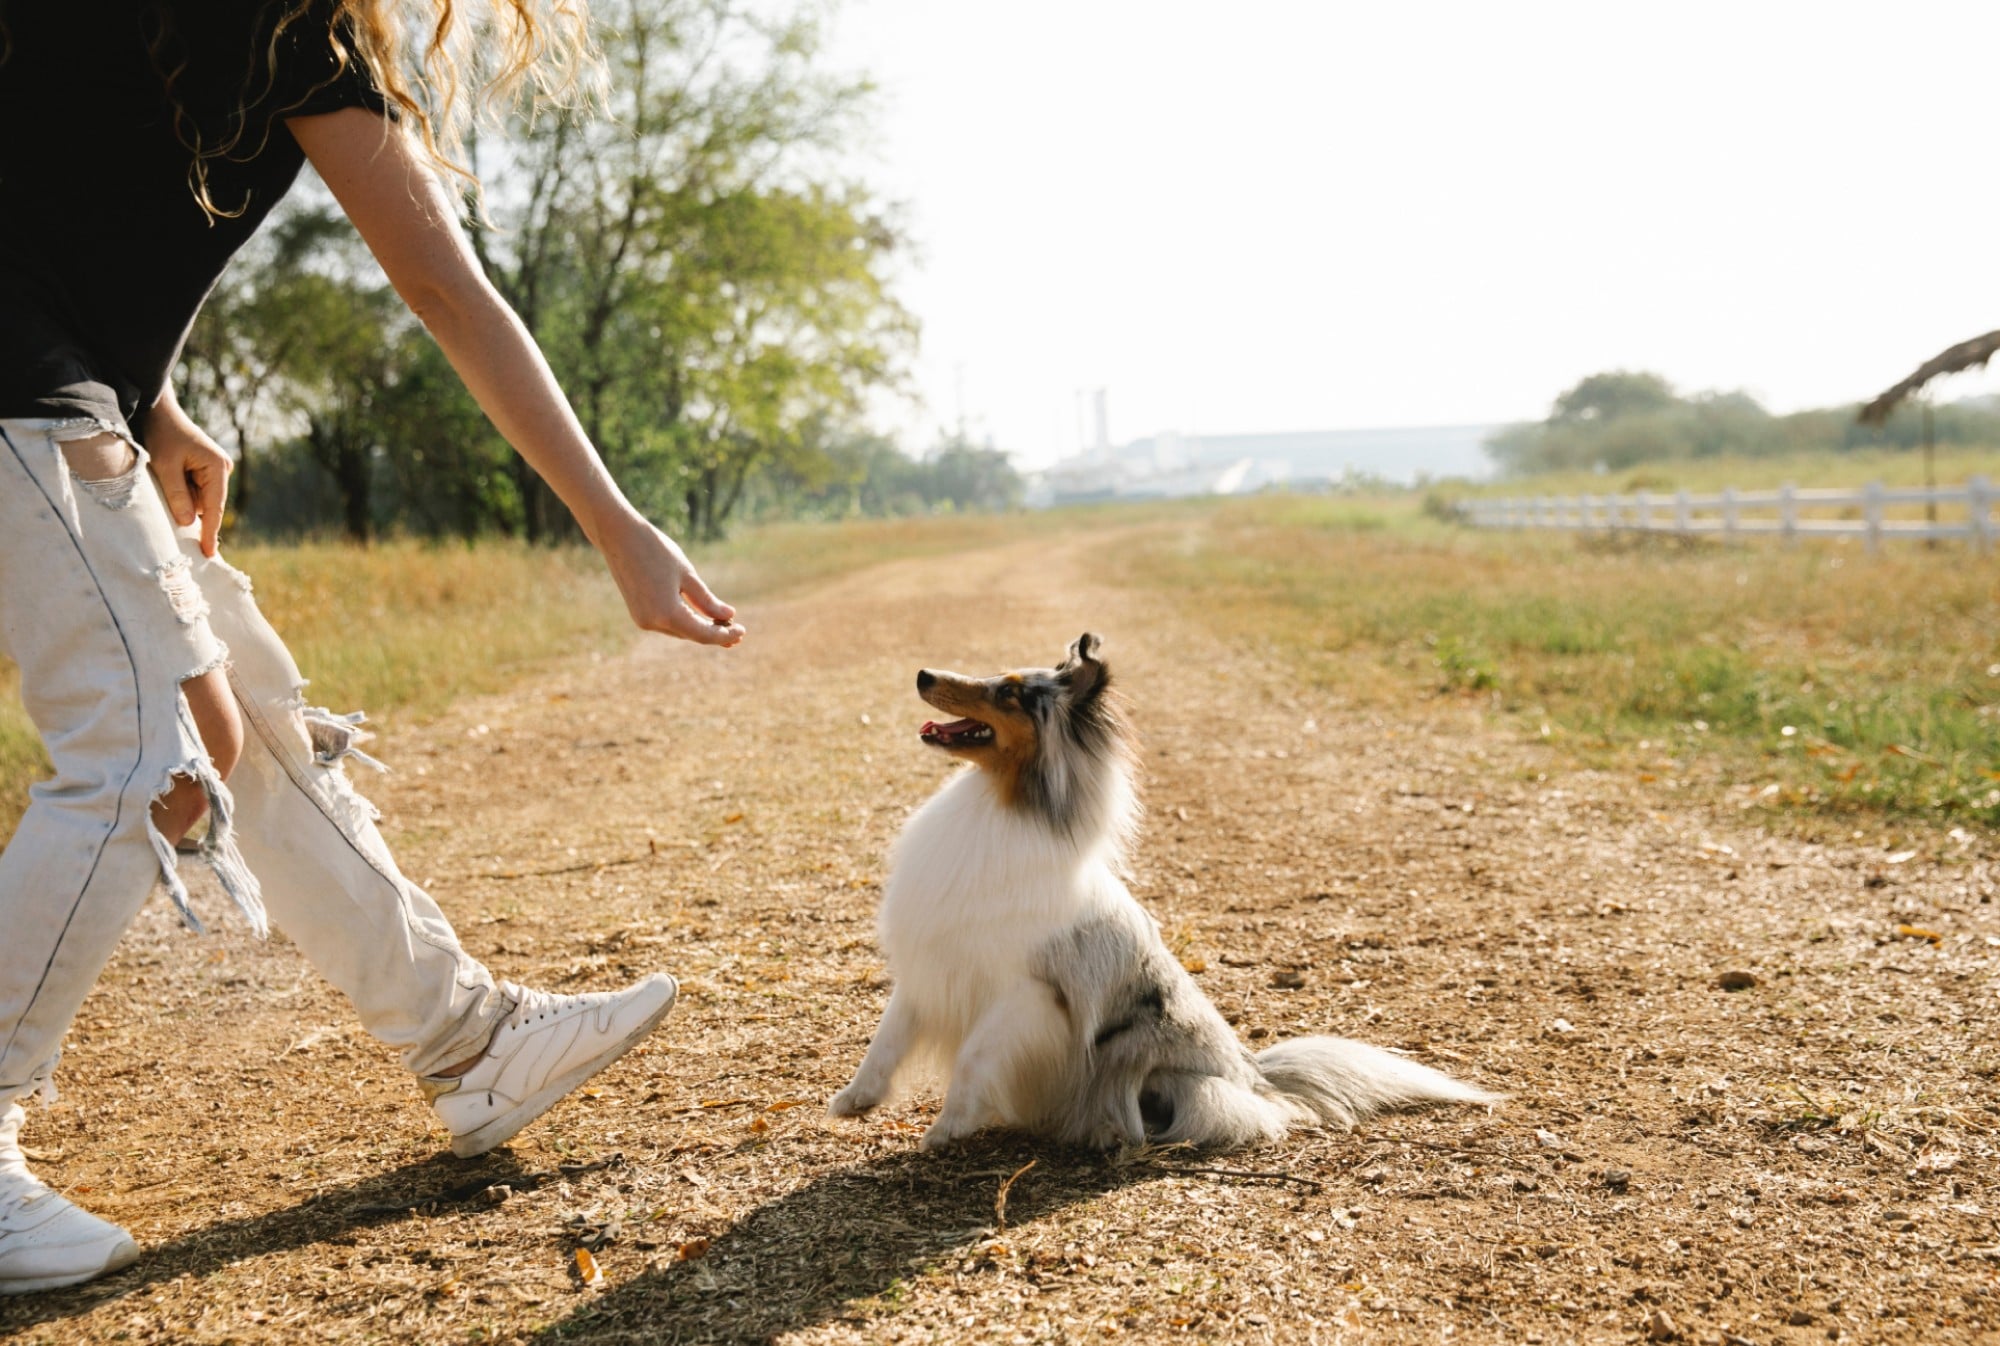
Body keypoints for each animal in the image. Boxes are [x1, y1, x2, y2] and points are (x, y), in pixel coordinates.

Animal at [820, 636, 1496, 1152]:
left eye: (1009, 692)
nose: (923, 674)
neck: (1002, 805)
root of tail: (1257, 1076)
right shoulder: (930, 960)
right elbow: (886, 1038)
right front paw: (854, 1100)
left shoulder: (1026, 994)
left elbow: (971, 1058)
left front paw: (945, 1130)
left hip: (1158, 1066)